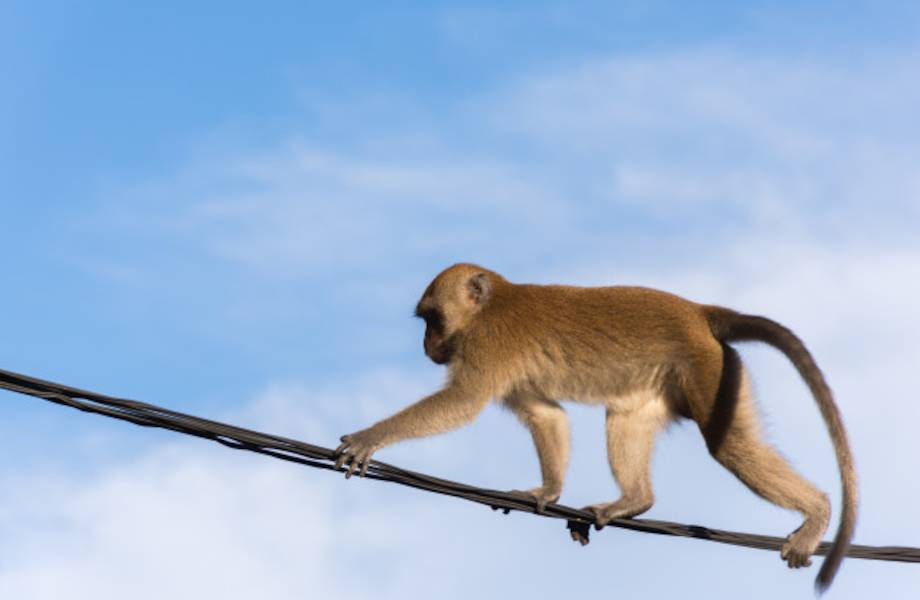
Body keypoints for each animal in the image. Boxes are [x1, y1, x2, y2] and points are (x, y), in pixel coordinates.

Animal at [334, 263, 857, 592]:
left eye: (431, 319)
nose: (426, 345)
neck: (493, 303)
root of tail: (698, 311)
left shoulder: (488, 344)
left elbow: (462, 403)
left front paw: (369, 438)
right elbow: (546, 415)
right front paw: (547, 491)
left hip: (707, 367)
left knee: (728, 445)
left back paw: (817, 512)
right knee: (626, 415)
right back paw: (635, 500)